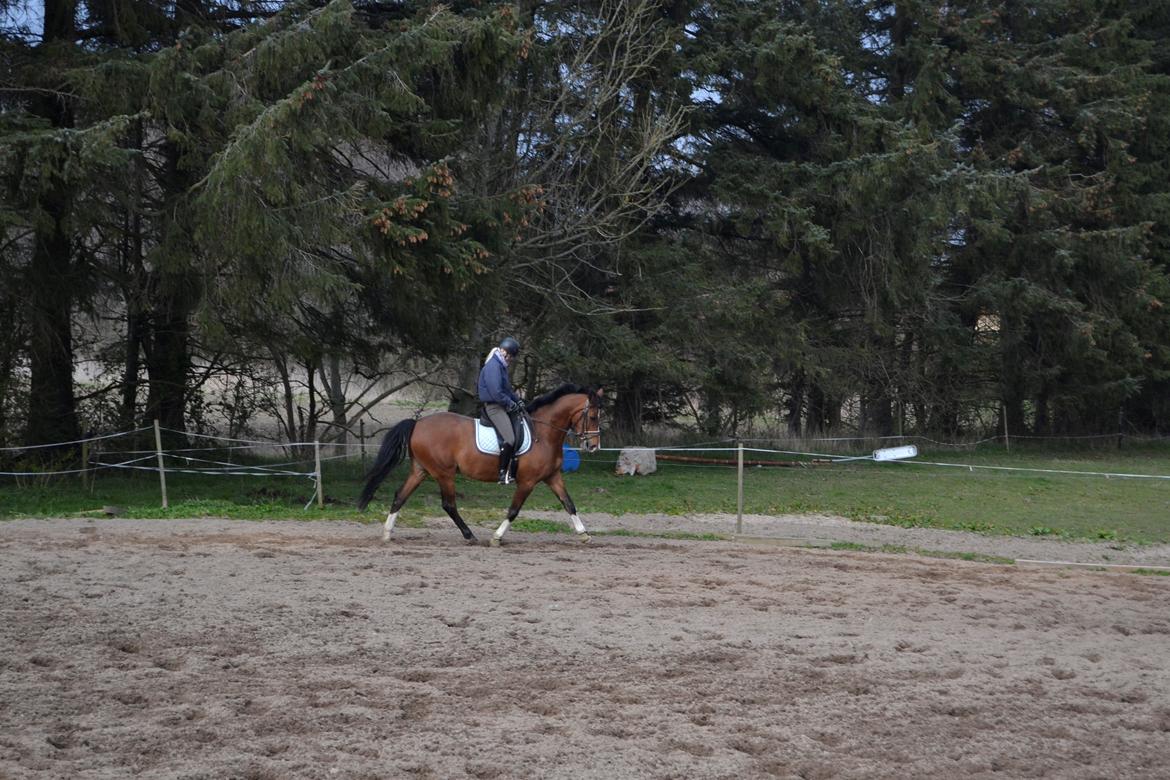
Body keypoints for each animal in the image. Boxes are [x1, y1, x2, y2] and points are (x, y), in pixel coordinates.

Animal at [355, 383, 603, 547]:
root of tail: (418, 423)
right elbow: (514, 510)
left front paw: (584, 534)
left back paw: (387, 534)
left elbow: (569, 504)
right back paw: (469, 535)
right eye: (592, 416)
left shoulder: (553, 477)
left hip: (421, 470)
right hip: (444, 473)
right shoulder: (527, 482)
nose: (594, 446)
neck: (543, 432)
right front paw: (497, 537)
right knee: (449, 504)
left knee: (400, 496)